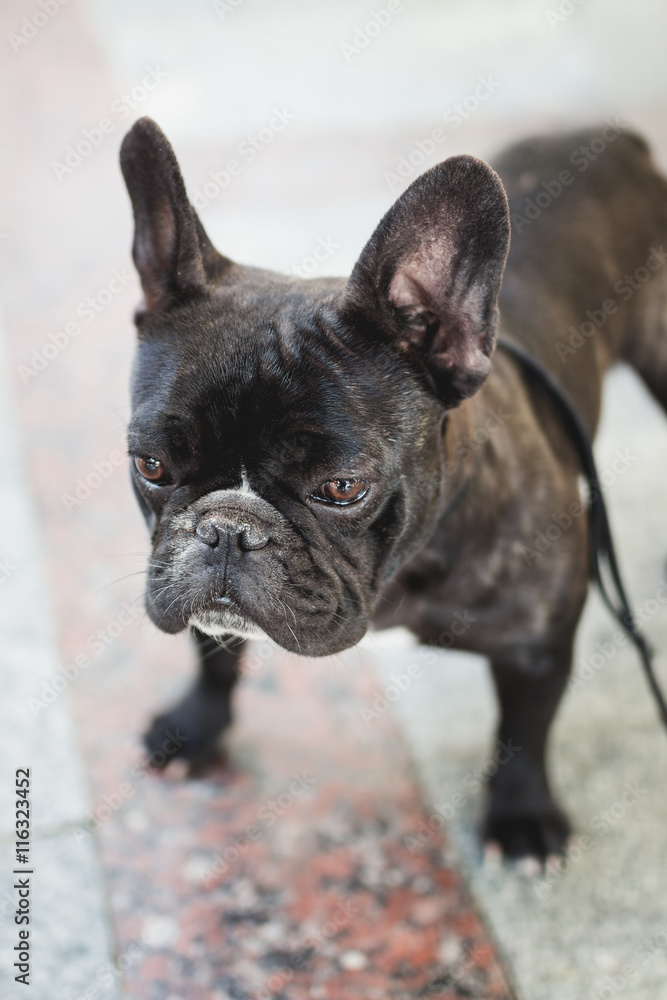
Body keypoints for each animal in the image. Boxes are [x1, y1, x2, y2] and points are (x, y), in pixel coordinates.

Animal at [120, 119, 667, 860]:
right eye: (150, 466)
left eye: (342, 487)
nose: (228, 528)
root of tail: (614, 135)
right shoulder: (188, 589)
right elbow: (211, 654)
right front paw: (196, 726)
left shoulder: (538, 646)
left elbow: (524, 733)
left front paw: (521, 815)